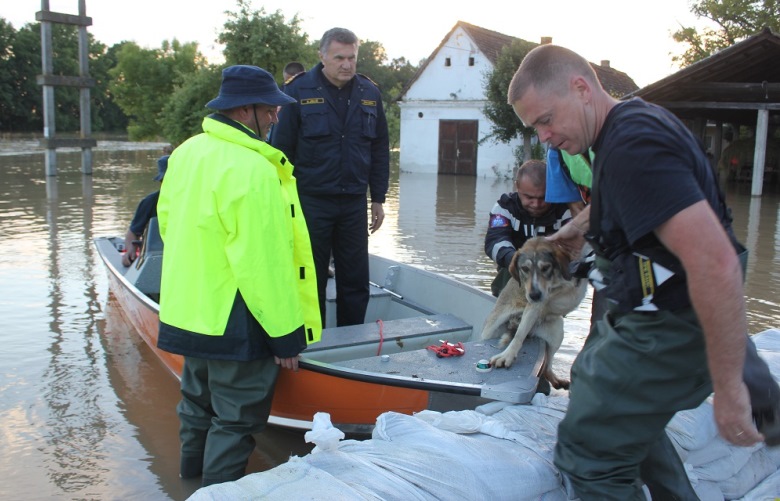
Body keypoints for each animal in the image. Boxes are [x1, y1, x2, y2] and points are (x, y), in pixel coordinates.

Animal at [482, 236, 584, 388]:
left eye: (546, 267)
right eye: (524, 269)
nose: (535, 295)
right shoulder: (533, 306)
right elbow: (518, 336)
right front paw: (507, 356)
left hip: (557, 334)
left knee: (547, 365)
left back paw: (557, 380)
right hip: (491, 330)